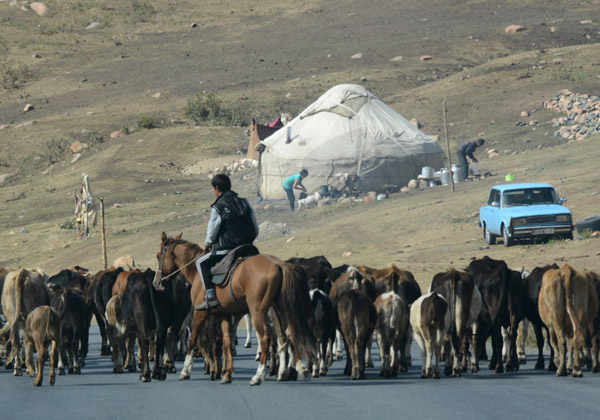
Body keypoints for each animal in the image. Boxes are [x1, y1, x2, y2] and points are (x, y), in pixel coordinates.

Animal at [152, 231, 316, 386]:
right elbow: (226, 342)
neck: (197, 272)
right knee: (290, 334)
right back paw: (297, 370)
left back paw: (259, 376)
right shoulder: (224, 314)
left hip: (258, 312)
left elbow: (193, 339)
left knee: (266, 339)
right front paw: (227, 374)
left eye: (159, 255)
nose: (156, 282)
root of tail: (279, 264)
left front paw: (186, 370)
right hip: (281, 309)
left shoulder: (200, 312)